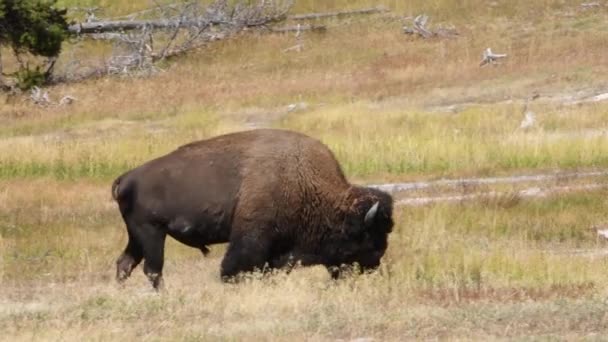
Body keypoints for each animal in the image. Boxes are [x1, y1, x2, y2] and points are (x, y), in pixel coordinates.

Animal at [112, 128, 394, 288]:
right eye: (367, 237)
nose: (374, 265)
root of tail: (126, 178)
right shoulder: (251, 238)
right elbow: (234, 267)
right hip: (151, 232)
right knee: (152, 269)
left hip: (138, 235)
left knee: (126, 263)